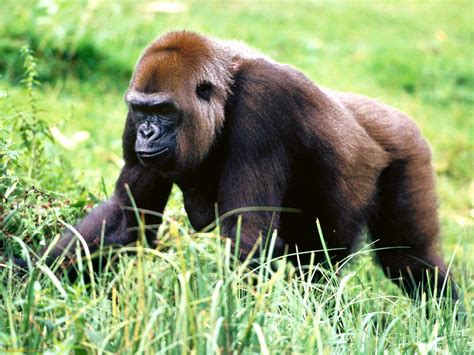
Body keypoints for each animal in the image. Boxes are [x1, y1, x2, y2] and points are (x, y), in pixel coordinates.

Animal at [35, 32, 458, 302]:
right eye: (141, 111)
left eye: (165, 111)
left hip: (408, 149)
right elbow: (126, 221)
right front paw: (31, 278)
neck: (226, 91)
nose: (147, 133)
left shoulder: (262, 103)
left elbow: (247, 239)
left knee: (410, 261)